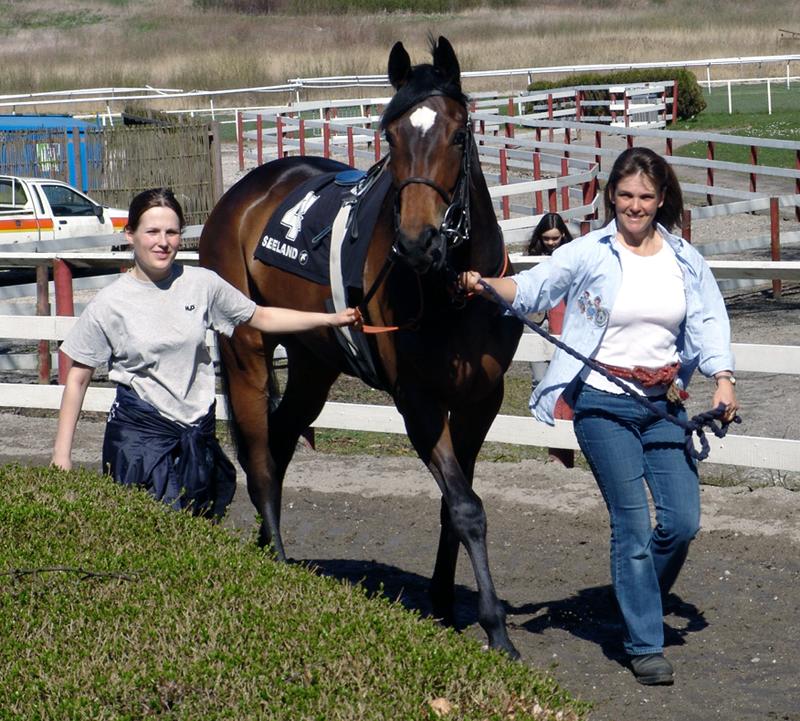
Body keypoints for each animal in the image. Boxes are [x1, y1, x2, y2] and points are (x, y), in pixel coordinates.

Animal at [199, 36, 523, 658]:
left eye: (458, 134)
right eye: (390, 137)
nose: (417, 242)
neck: (451, 290)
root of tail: (245, 191)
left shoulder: (481, 399)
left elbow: (455, 502)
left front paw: (443, 601)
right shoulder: (418, 402)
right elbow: (466, 506)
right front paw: (496, 628)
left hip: (312, 362)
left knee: (281, 439)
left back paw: (266, 546)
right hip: (247, 349)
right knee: (259, 453)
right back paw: (277, 560)